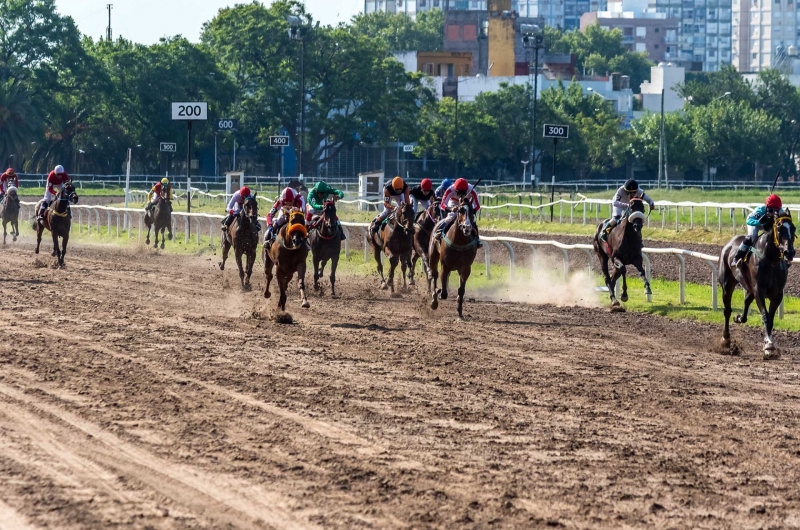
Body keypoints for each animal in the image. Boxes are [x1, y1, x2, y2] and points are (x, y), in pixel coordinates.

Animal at [720, 211, 792, 358]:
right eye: (779, 228)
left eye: (793, 228)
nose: (790, 252)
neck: (770, 260)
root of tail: (729, 243)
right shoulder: (759, 290)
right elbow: (766, 316)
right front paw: (769, 345)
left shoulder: (777, 294)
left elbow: (770, 318)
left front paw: (768, 345)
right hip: (727, 284)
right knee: (727, 310)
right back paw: (726, 339)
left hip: (748, 286)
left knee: (746, 301)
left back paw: (739, 318)